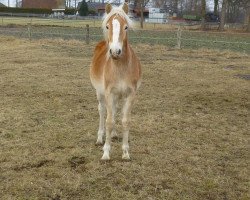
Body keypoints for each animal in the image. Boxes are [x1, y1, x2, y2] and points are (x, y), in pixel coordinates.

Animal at [90, 2, 142, 160]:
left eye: (126, 27)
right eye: (107, 26)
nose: (115, 52)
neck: (120, 68)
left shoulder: (130, 94)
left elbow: (125, 121)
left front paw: (125, 152)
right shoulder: (108, 93)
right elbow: (109, 121)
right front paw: (106, 152)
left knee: (114, 110)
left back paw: (113, 135)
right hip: (100, 93)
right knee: (102, 111)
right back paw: (100, 138)